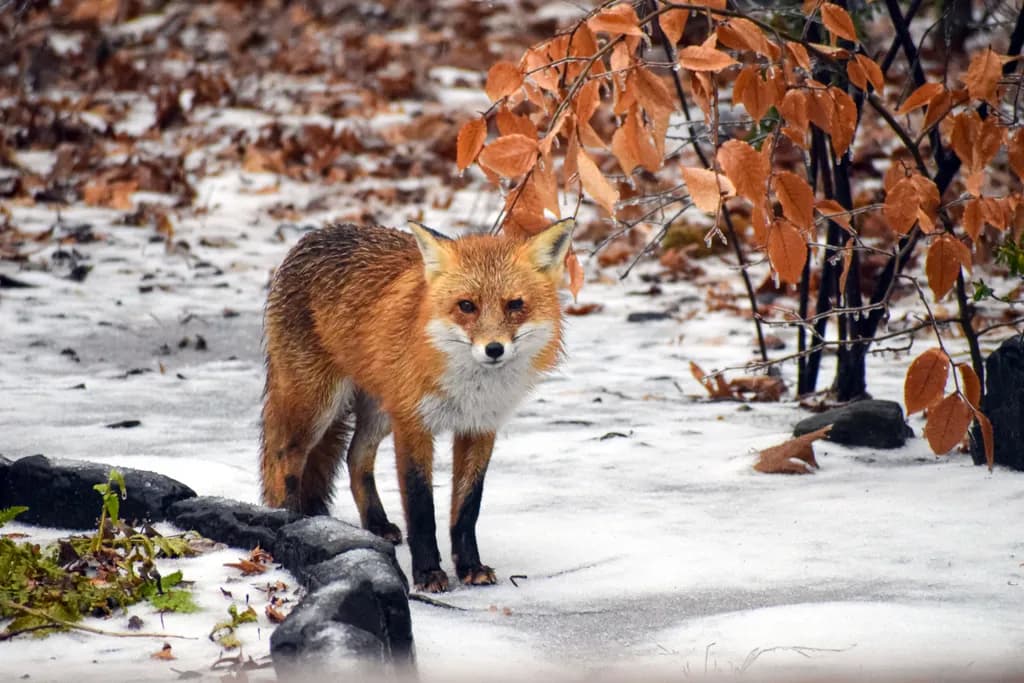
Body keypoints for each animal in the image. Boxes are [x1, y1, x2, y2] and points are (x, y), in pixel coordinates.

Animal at [259, 218, 574, 592]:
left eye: (514, 305)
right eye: (466, 306)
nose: (494, 349)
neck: (469, 388)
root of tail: (317, 233)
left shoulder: (479, 428)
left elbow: (467, 509)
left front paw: (470, 567)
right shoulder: (413, 424)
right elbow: (421, 507)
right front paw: (427, 573)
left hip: (379, 412)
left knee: (355, 457)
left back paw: (376, 525)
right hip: (318, 406)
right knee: (286, 457)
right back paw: (292, 519)